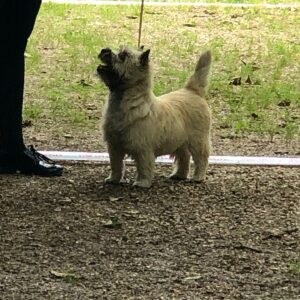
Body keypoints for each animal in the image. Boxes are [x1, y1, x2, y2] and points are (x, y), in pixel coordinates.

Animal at [97, 46, 212, 188]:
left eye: (123, 56)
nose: (104, 49)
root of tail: (192, 91)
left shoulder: (143, 149)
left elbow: (144, 166)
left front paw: (142, 182)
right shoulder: (114, 146)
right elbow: (116, 165)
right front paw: (114, 179)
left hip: (198, 141)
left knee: (201, 158)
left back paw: (198, 177)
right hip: (180, 142)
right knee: (184, 157)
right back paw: (179, 175)